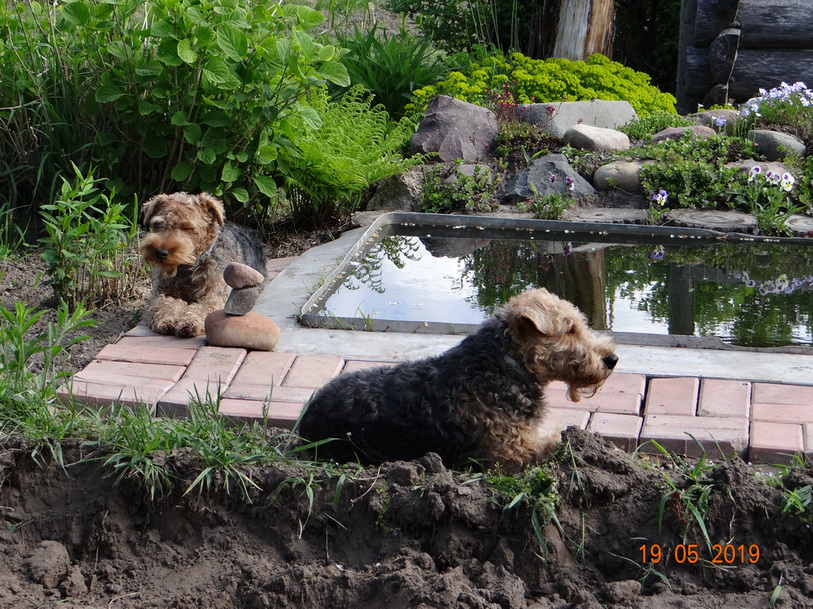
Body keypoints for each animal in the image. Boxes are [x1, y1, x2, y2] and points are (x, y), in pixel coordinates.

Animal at [140, 192, 267, 338]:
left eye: (187, 227)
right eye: (158, 224)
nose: (160, 252)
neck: (189, 266)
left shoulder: (215, 295)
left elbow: (201, 308)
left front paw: (189, 321)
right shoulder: (159, 293)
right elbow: (165, 302)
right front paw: (168, 319)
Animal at [298, 288, 618, 470]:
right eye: (569, 329)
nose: (611, 359)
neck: (503, 364)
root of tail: (306, 418)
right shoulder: (509, 450)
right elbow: (555, 442)